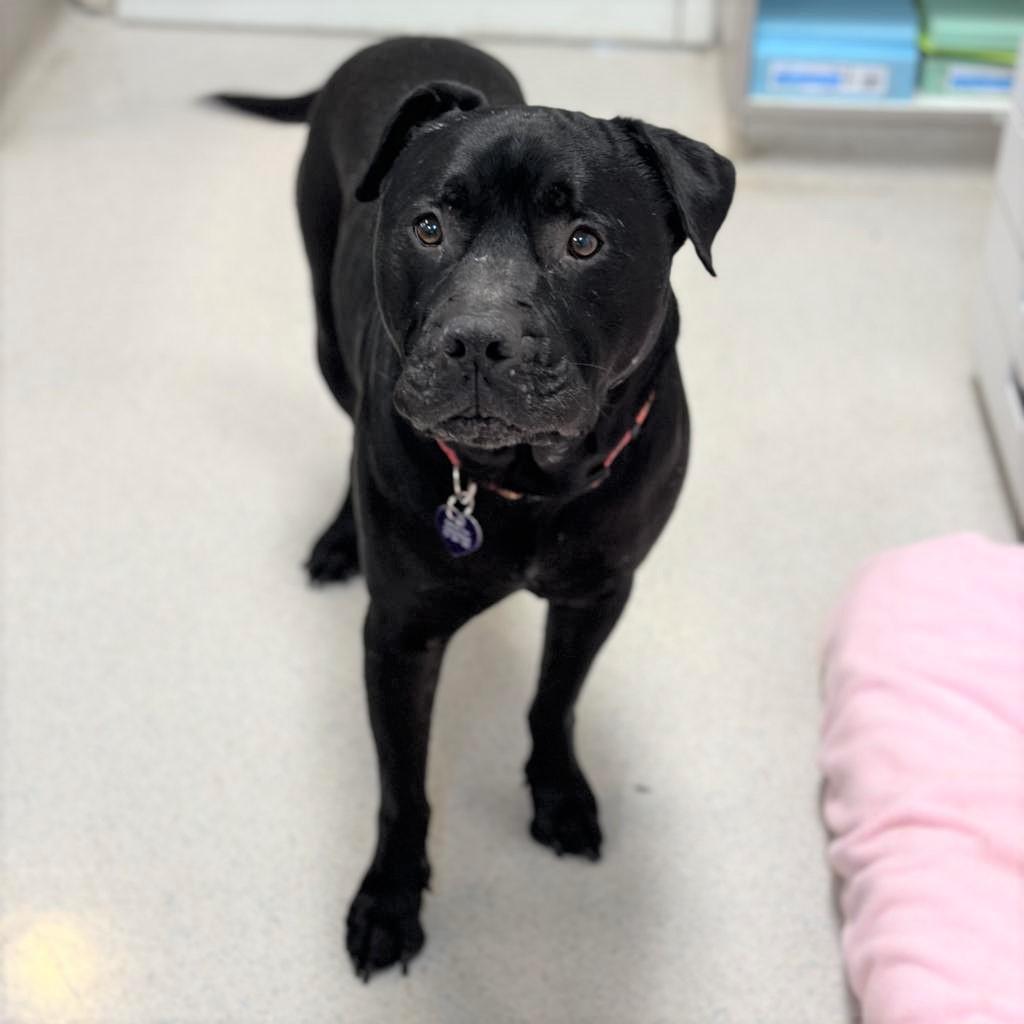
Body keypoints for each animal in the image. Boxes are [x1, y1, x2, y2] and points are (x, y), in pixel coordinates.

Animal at [216, 37, 733, 983]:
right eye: (429, 227)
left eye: (584, 240)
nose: (478, 339)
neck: (527, 484)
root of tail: (395, 43)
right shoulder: (401, 636)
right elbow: (402, 788)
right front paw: (391, 898)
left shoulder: (598, 594)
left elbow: (555, 701)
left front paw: (559, 794)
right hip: (324, 335)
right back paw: (338, 540)